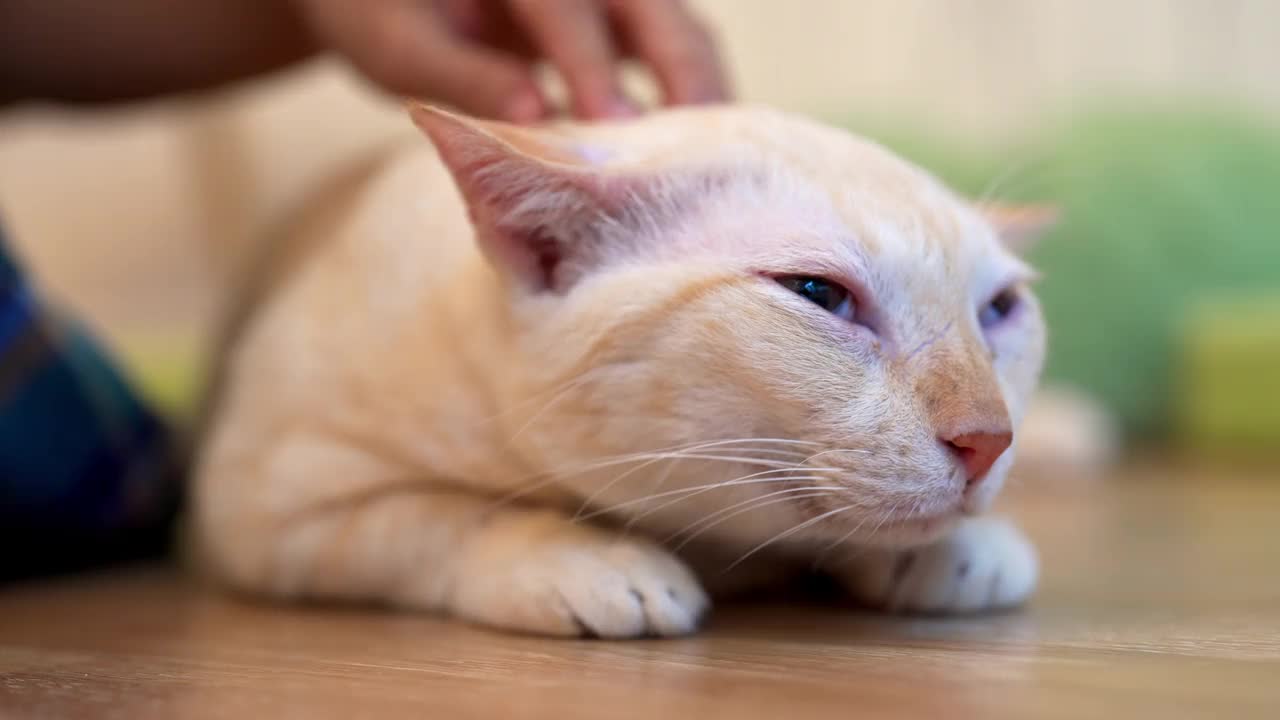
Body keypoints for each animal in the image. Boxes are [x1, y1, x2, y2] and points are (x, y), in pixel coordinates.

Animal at [192, 103, 1049, 635]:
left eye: (1000, 309)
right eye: (819, 294)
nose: (989, 440)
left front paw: (958, 551)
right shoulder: (267, 507)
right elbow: (450, 514)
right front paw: (587, 558)